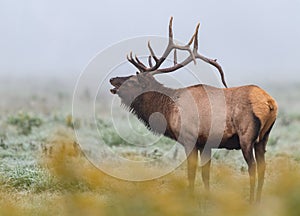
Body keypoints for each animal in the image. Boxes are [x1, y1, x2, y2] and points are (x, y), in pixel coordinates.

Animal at [109, 16, 276, 202]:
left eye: (132, 80)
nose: (113, 79)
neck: (168, 110)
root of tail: (270, 103)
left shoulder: (190, 138)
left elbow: (191, 174)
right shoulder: (205, 144)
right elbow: (205, 175)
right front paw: (207, 198)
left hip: (246, 137)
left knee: (252, 168)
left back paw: (252, 200)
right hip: (263, 138)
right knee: (263, 167)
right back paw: (259, 200)